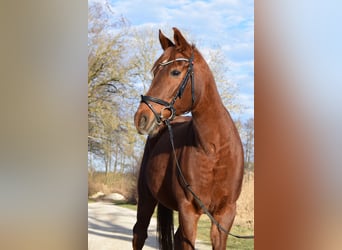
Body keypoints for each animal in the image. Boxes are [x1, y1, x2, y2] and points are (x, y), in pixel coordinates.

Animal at [132, 27, 244, 250]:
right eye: (154, 72)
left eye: (175, 72)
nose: (141, 118)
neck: (215, 150)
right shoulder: (188, 212)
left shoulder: (225, 215)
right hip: (146, 198)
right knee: (139, 233)